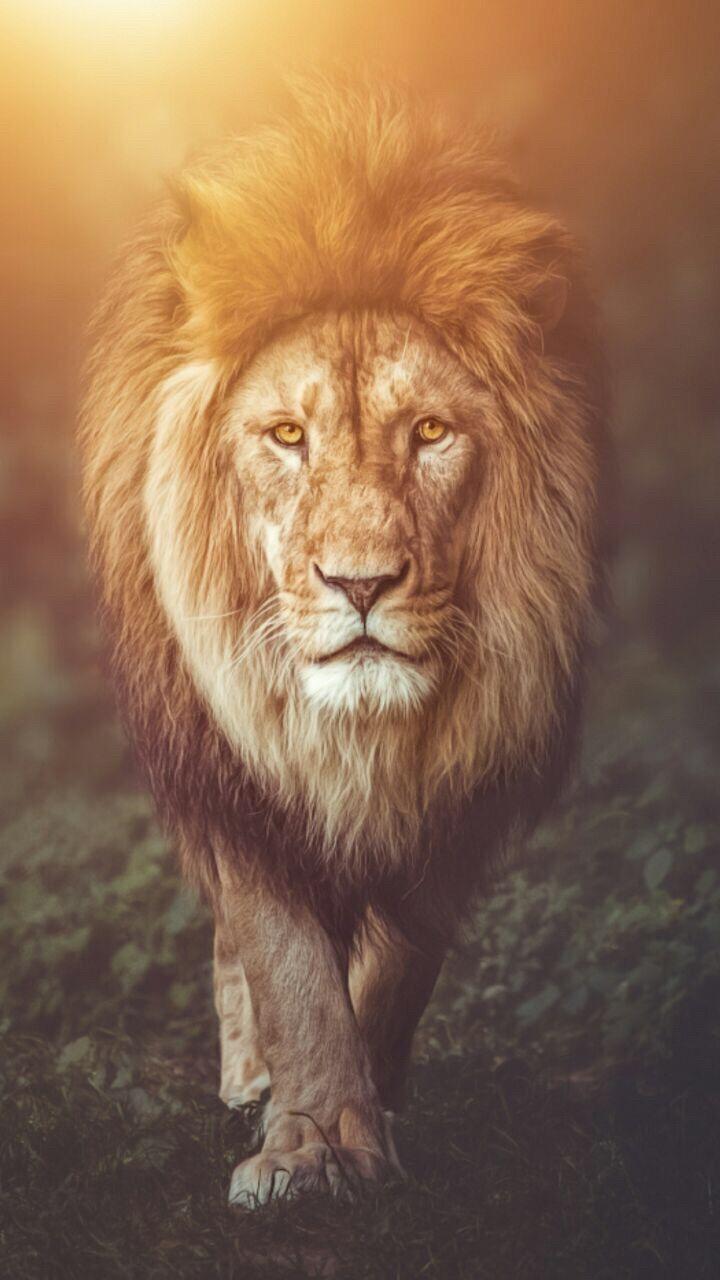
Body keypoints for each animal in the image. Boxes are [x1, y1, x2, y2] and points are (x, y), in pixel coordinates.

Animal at [79, 76, 608, 1206]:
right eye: (287, 435)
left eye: (431, 432)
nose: (360, 585)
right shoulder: (232, 766)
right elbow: (286, 960)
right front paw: (308, 1138)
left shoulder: (471, 775)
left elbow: (400, 964)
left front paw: (367, 1112)